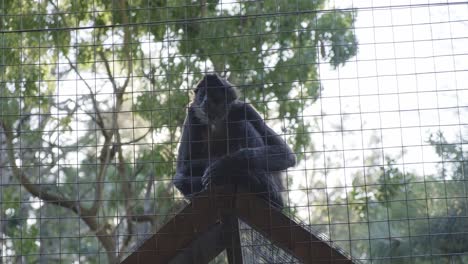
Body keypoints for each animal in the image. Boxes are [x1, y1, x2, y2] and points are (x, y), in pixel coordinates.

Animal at [172, 73, 296, 207]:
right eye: (202, 94)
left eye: (212, 93)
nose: (205, 100)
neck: (216, 121)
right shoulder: (193, 113)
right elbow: (183, 166)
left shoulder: (243, 108)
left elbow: (287, 154)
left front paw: (224, 166)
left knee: (242, 124)